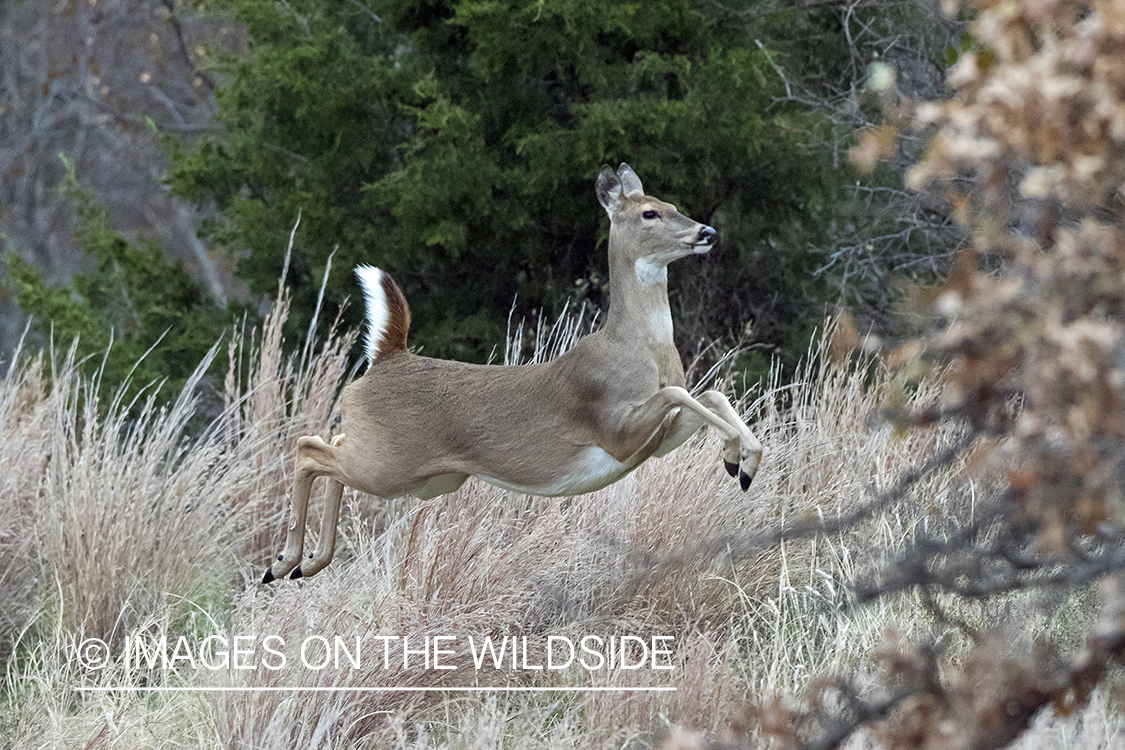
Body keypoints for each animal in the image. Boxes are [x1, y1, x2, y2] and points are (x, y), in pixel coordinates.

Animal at [258, 164, 760, 584]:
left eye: (674, 205)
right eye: (650, 212)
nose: (707, 231)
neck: (642, 350)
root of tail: (388, 356)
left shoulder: (653, 442)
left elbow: (707, 395)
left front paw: (743, 460)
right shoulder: (611, 427)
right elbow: (682, 391)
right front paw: (740, 457)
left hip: (418, 475)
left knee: (333, 447)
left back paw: (307, 563)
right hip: (389, 466)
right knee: (309, 448)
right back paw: (283, 562)